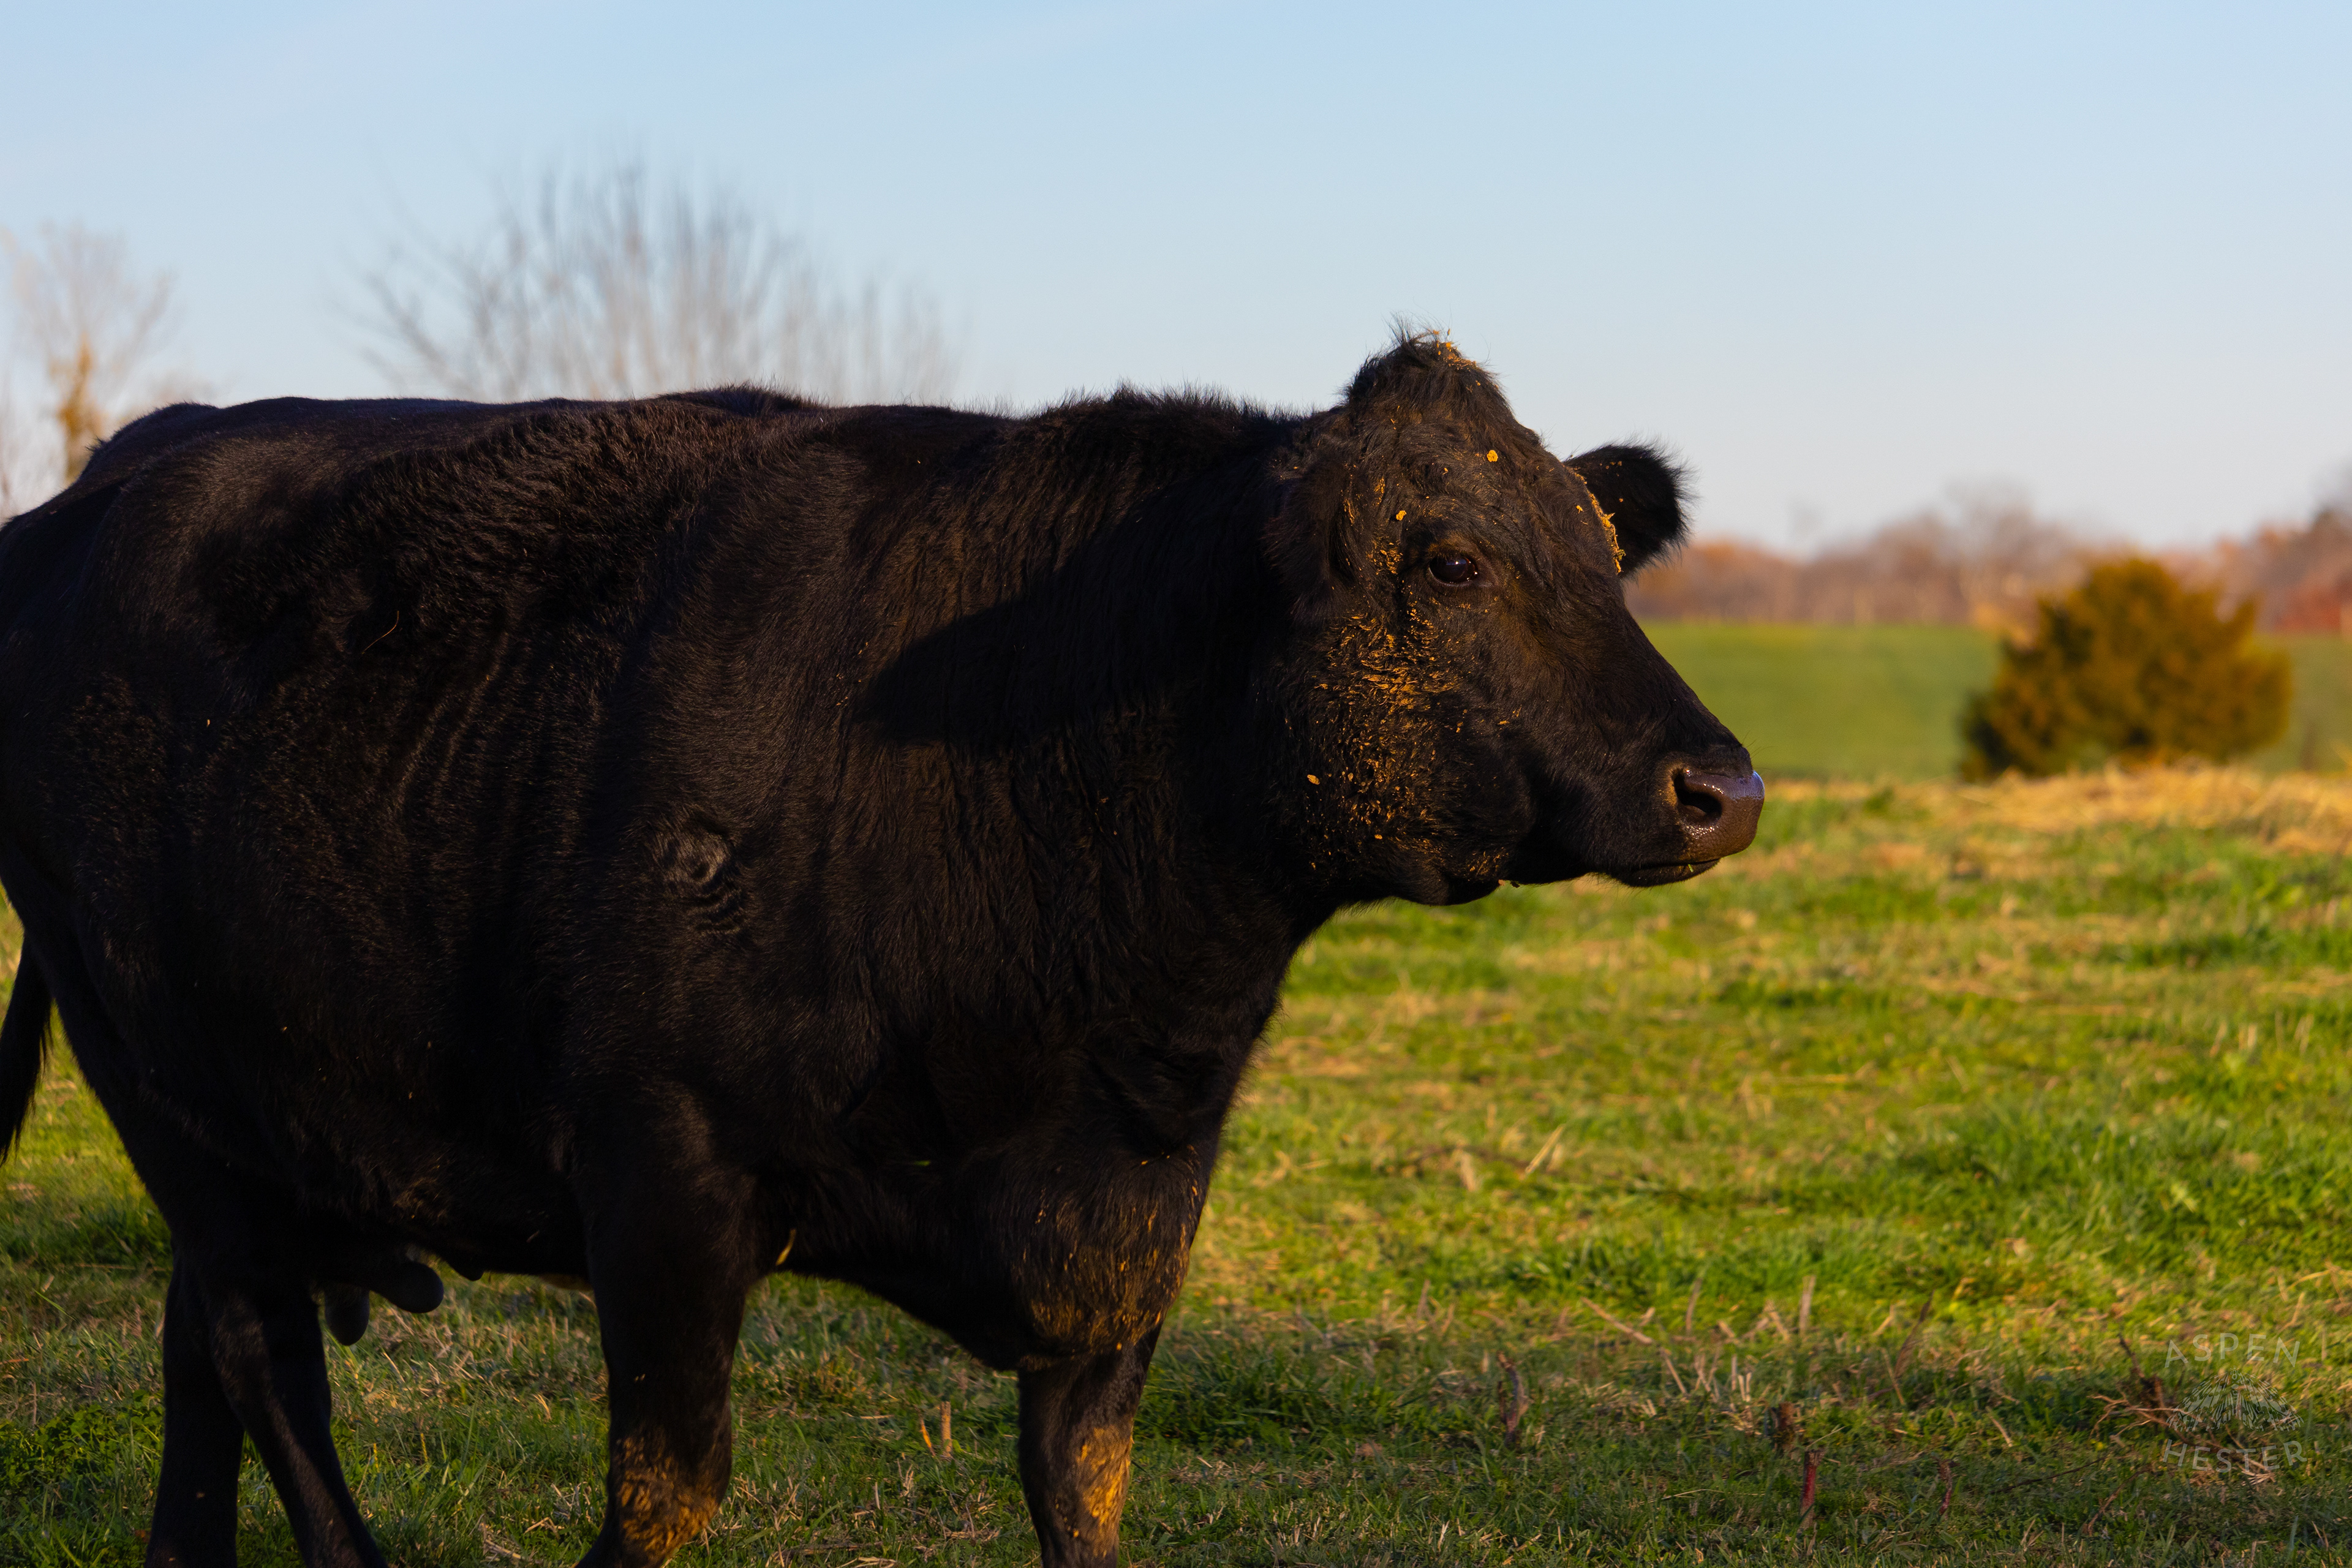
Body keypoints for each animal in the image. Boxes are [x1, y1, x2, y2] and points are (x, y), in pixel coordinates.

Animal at [0, 332, 1760, 1568]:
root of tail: (118, 465)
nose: (1724, 787)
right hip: (154, 1073)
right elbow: (663, 1498)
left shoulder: (1128, 1250)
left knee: (202, 1361)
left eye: (1604, 558)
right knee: (261, 1354)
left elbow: (1082, 1497)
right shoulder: (662, 1171)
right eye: (1449, 560)